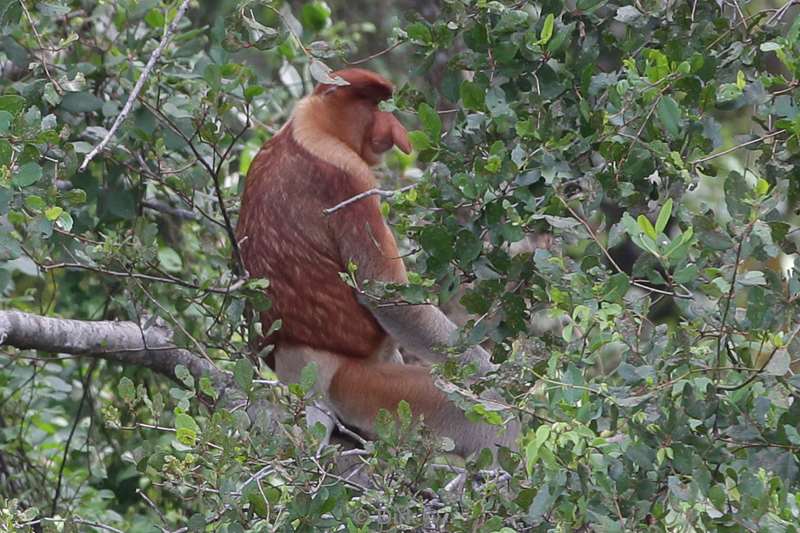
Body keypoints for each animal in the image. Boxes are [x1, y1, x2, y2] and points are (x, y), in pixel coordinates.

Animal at [236, 68, 520, 456]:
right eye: (375, 106)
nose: (396, 131)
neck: (307, 127)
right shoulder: (350, 178)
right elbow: (386, 296)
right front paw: (493, 376)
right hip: (358, 386)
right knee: (489, 422)